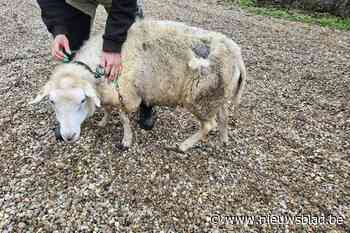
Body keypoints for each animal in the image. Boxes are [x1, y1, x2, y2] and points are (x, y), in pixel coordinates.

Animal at [32, 19, 246, 151]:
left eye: (82, 100)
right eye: (52, 102)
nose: (67, 137)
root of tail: (237, 56)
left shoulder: (127, 95)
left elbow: (124, 118)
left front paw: (126, 140)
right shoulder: (110, 92)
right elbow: (107, 108)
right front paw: (104, 121)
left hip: (200, 99)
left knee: (209, 125)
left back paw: (184, 146)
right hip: (217, 95)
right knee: (223, 116)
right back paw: (224, 139)